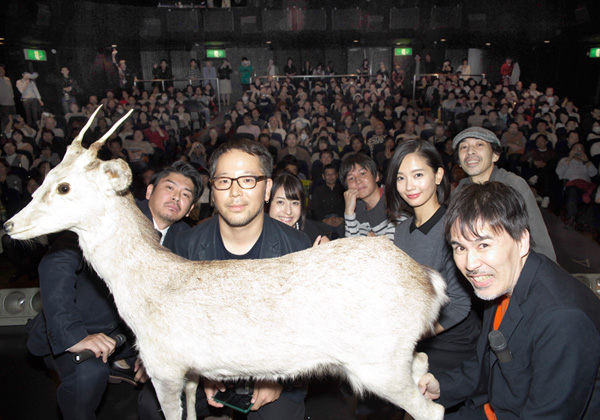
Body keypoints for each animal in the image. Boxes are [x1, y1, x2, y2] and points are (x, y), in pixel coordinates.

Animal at [3, 107, 446, 420]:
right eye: (46, 177)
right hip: (395, 356)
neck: (144, 295)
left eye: (64, 187)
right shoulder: (190, 371)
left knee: (434, 409)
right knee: (426, 369)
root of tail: (429, 284)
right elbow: (192, 407)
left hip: (377, 360)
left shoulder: (164, 365)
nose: (9, 225)